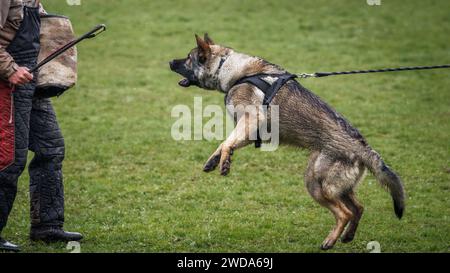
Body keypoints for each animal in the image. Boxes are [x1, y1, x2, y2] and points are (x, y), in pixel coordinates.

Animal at [170, 34, 408, 249]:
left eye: (189, 58)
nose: (170, 61)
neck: (226, 67)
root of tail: (363, 148)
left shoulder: (251, 120)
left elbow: (228, 143)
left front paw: (224, 163)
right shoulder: (249, 130)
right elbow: (225, 143)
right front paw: (215, 160)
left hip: (316, 185)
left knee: (345, 212)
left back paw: (329, 241)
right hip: (337, 187)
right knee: (359, 208)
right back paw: (347, 237)